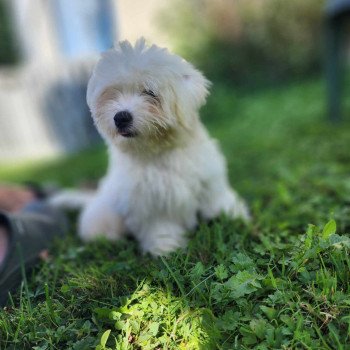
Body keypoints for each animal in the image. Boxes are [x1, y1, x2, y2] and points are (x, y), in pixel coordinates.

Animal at [79, 38, 249, 256]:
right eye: (112, 94)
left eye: (150, 92)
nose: (121, 117)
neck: (160, 150)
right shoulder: (148, 202)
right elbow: (160, 226)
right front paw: (166, 248)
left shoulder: (209, 179)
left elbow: (218, 200)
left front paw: (236, 217)